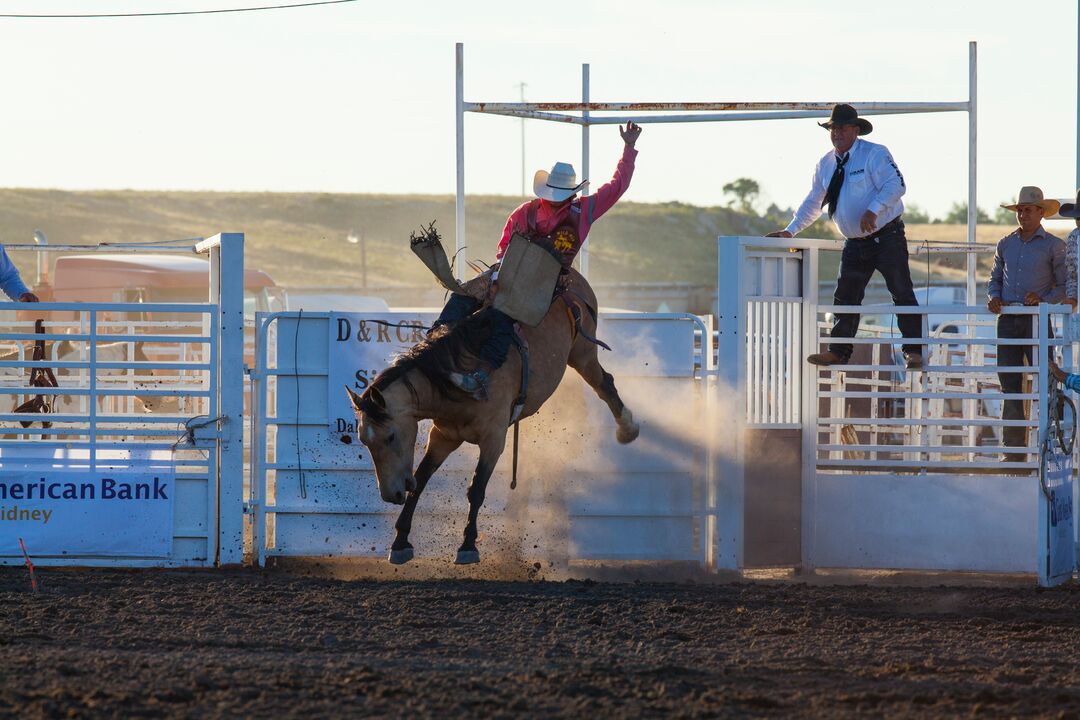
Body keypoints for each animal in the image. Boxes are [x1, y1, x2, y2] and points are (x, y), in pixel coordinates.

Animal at [345, 222, 635, 565]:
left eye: (390, 436)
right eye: (364, 440)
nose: (390, 495)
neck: (454, 378)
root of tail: (572, 276)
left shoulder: (494, 438)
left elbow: (476, 489)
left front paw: (468, 545)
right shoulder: (444, 436)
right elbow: (422, 478)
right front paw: (400, 541)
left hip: (583, 352)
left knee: (605, 383)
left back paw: (628, 428)